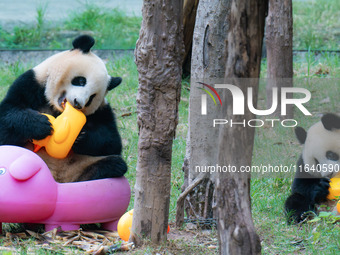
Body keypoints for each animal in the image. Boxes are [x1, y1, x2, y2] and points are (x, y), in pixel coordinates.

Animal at [0, 35, 127, 182]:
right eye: (81, 81)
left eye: (91, 97)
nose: (78, 103)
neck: (55, 108)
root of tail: (59, 178)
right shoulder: (30, 83)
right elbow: (8, 118)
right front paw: (41, 126)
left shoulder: (102, 110)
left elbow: (112, 142)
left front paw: (80, 137)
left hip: (83, 164)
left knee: (115, 164)